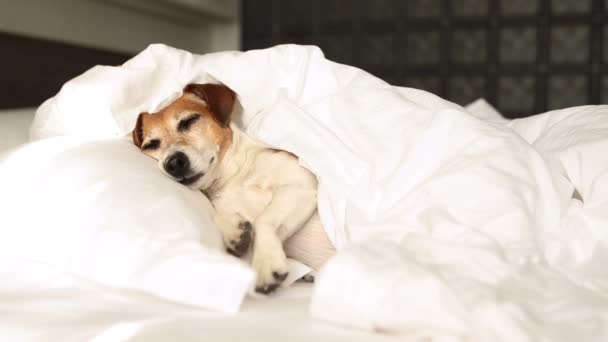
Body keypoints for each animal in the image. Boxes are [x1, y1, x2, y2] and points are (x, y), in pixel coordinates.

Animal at [132, 83, 332, 294]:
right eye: (151, 145)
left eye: (190, 120)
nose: (173, 163)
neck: (232, 177)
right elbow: (218, 215)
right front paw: (234, 231)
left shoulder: (301, 183)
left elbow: (262, 220)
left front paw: (266, 263)